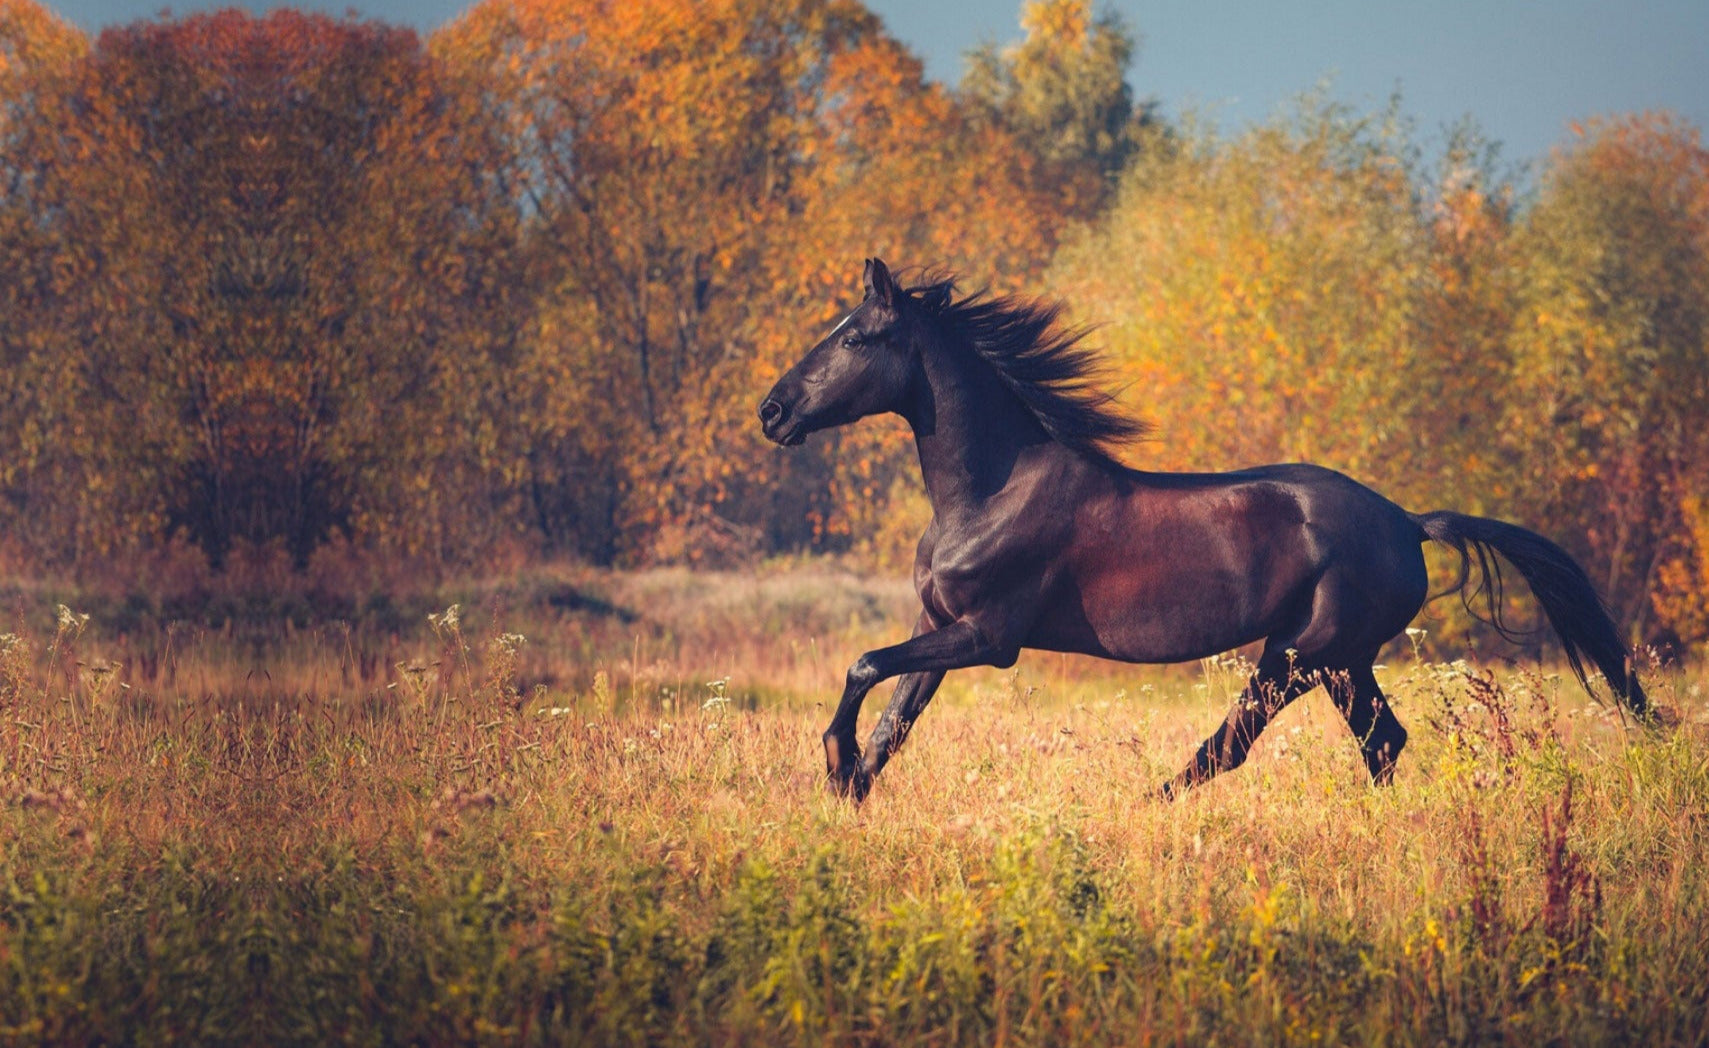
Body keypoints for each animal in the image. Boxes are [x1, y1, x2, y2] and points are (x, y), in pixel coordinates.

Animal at [758, 258, 1650, 801]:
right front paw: (849, 785)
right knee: (1381, 741)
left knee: (1231, 747)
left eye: (854, 336)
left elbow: (863, 666)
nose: (771, 411)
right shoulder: (937, 624)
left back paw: (1144, 804)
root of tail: (1406, 522)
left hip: (1297, 655)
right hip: (1341, 661)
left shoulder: (988, 635)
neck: (989, 491)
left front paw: (832, 765)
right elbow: (893, 717)